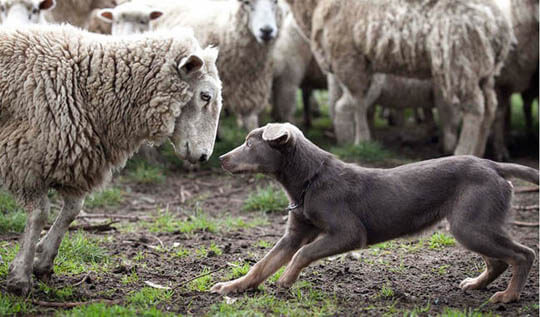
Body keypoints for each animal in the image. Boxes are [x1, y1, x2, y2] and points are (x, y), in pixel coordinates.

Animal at [1, 24, 221, 294]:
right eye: (205, 96)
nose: (204, 156)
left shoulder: (74, 159)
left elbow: (73, 210)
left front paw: (42, 259)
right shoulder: (24, 158)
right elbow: (40, 213)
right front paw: (20, 275)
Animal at [211, 122, 536, 302]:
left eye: (249, 144)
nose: (221, 158)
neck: (310, 180)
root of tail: (493, 164)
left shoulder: (349, 233)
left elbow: (303, 254)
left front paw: (287, 279)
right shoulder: (294, 233)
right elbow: (262, 265)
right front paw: (231, 286)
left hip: (470, 225)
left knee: (524, 254)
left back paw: (508, 296)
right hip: (474, 225)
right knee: (499, 261)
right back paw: (478, 285)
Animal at [284, 0, 512, 156]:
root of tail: (499, 24)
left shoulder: (348, 56)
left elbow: (356, 102)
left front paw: (358, 140)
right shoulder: (359, 61)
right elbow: (359, 103)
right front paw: (359, 138)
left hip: (461, 60)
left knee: (475, 109)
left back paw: (463, 150)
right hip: (485, 67)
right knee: (490, 106)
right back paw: (478, 151)